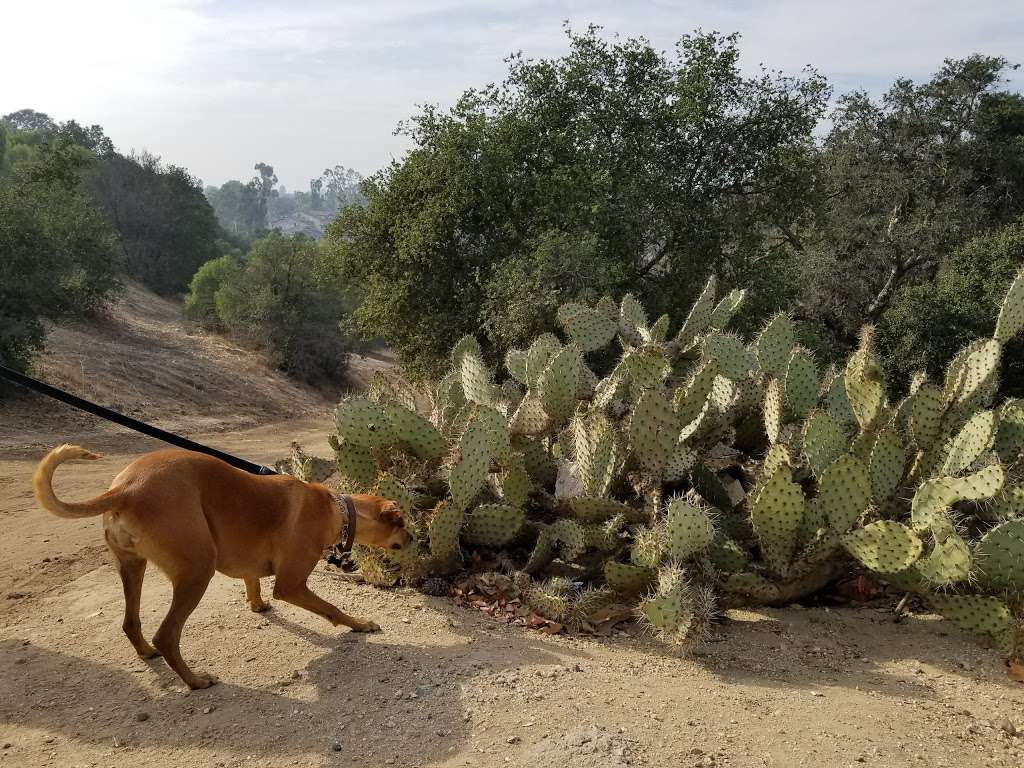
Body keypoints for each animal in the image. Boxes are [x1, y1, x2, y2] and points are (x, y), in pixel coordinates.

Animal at [36, 444, 411, 692]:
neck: (336, 510)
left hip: (133, 567)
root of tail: (124, 489)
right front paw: (360, 624)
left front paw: (258, 605)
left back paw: (146, 652)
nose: (414, 540)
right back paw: (196, 680)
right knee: (167, 634)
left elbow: (252, 582)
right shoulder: (291, 584)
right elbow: (331, 607)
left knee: (131, 622)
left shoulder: (250, 564)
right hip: (198, 570)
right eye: (403, 524)